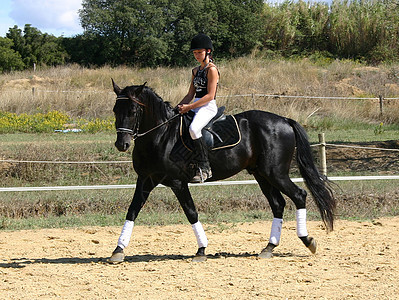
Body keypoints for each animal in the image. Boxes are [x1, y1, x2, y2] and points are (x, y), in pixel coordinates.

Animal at [108, 81, 334, 262]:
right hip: (261, 175)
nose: (121, 144)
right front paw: (118, 250)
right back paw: (269, 248)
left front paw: (201, 250)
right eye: (115, 110)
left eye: (133, 111)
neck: (161, 135)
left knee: (299, 195)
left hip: (275, 173)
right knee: (278, 204)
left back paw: (307, 241)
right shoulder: (145, 179)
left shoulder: (177, 182)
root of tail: (285, 120)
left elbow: (191, 212)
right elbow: (132, 211)